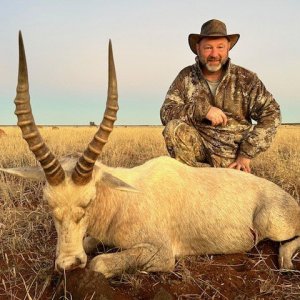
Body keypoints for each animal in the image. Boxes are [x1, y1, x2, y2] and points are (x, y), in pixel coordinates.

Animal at [0, 31, 300, 278]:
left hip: (274, 225)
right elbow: (89, 243)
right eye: (48, 203)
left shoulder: (162, 254)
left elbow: (99, 263)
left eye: (88, 201)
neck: (122, 200)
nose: (68, 264)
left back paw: (285, 263)